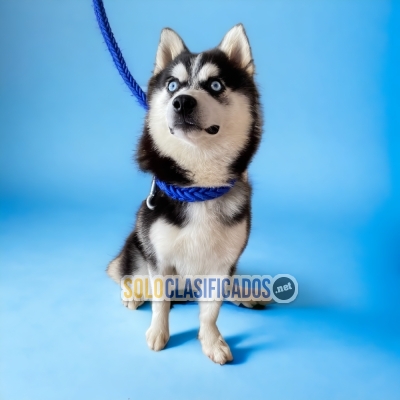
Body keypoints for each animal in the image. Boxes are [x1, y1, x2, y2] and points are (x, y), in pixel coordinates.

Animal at [106, 23, 262, 364]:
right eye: (173, 85)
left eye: (215, 85)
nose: (182, 101)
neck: (198, 189)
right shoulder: (160, 260)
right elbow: (161, 302)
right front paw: (158, 332)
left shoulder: (222, 265)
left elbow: (211, 312)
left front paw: (212, 341)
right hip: (137, 244)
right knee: (124, 269)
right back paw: (132, 293)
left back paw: (245, 293)